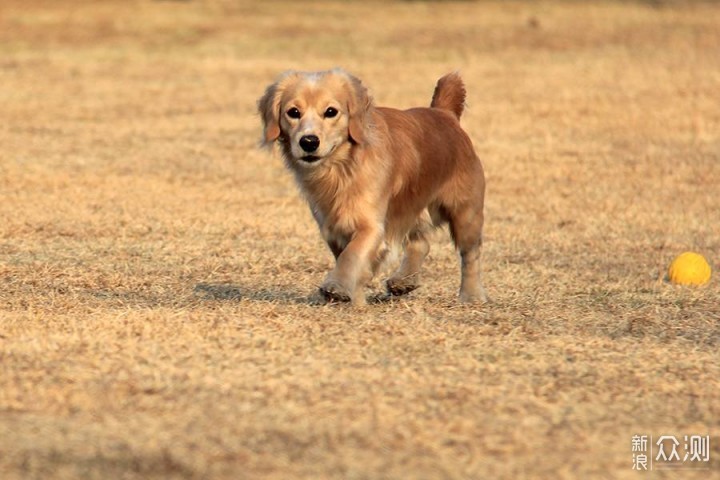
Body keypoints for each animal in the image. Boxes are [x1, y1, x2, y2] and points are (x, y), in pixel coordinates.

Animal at [256, 69, 486, 306]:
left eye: (331, 112)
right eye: (293, 112)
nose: (309, 141)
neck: (341, 168)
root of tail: (444, 113)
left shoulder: (371, 225)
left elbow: (352, 255)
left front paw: (336, 286)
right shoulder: (331, 226)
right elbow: (349, 258)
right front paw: (355, 299)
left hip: (465, 212)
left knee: (470, 254)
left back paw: (471, 294)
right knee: (421, 243)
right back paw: (403, 281)